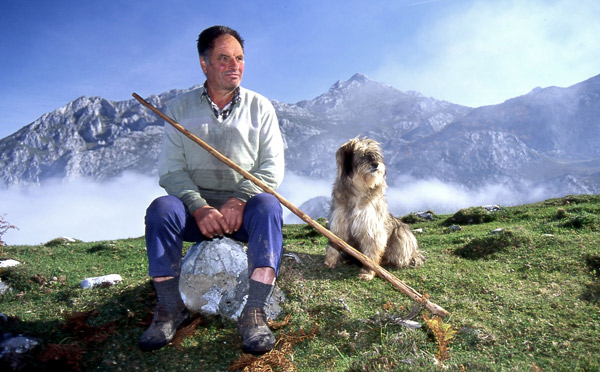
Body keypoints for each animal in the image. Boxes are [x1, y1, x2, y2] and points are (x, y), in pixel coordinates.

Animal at [324, 138, 422, 280]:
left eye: (376, 155)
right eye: (362, 154)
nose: (376, 164)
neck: (359, 190)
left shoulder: (372, 228)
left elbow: (371, 252)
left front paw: (368, 272)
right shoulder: (339, 223)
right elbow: (334, 243)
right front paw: (329, 262)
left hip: (402, 234)